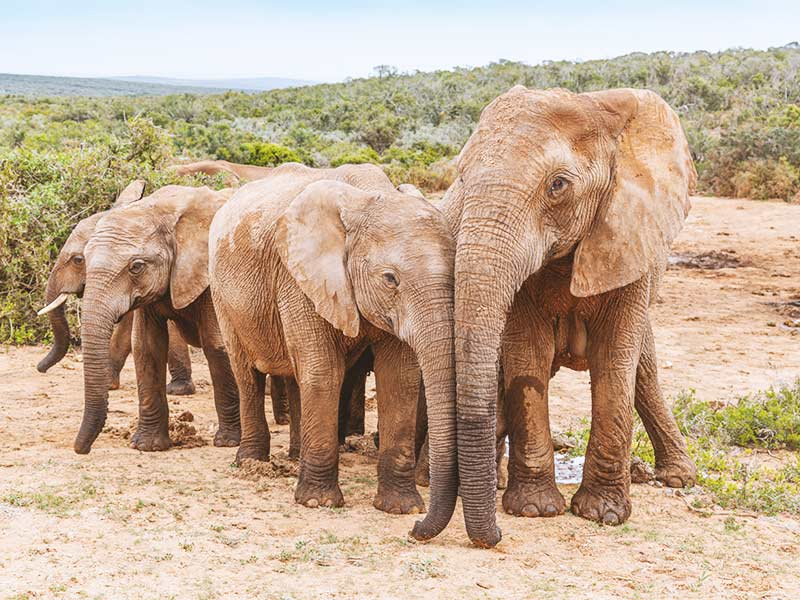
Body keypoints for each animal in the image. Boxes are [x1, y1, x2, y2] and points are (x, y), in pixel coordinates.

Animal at [73, 185, 243, 454]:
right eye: (83, 261)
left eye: (136, 266)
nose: (81, 449)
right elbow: (146, 346)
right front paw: (148, 446)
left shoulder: (209, 276)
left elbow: (217, 345)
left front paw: (228, 442)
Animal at [209, 162, 457, 531]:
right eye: (390, 279)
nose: (417, 531)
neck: (368, 197)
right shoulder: (298, 278)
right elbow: (324, 371)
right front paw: (318, 502)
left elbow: (399, 379)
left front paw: (402, 508)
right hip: (223, 296)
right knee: (247, 374)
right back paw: (250, 462)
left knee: (297, 376)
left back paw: (295, 457)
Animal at [428, 87, 697, 547]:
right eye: (462, 179)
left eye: (558, 185)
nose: (494, 537)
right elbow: (527, 358)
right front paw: (534, 510)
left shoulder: (628, 237)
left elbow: (615, 362)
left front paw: (603, 514)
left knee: (643, 368)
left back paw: (678, 478)